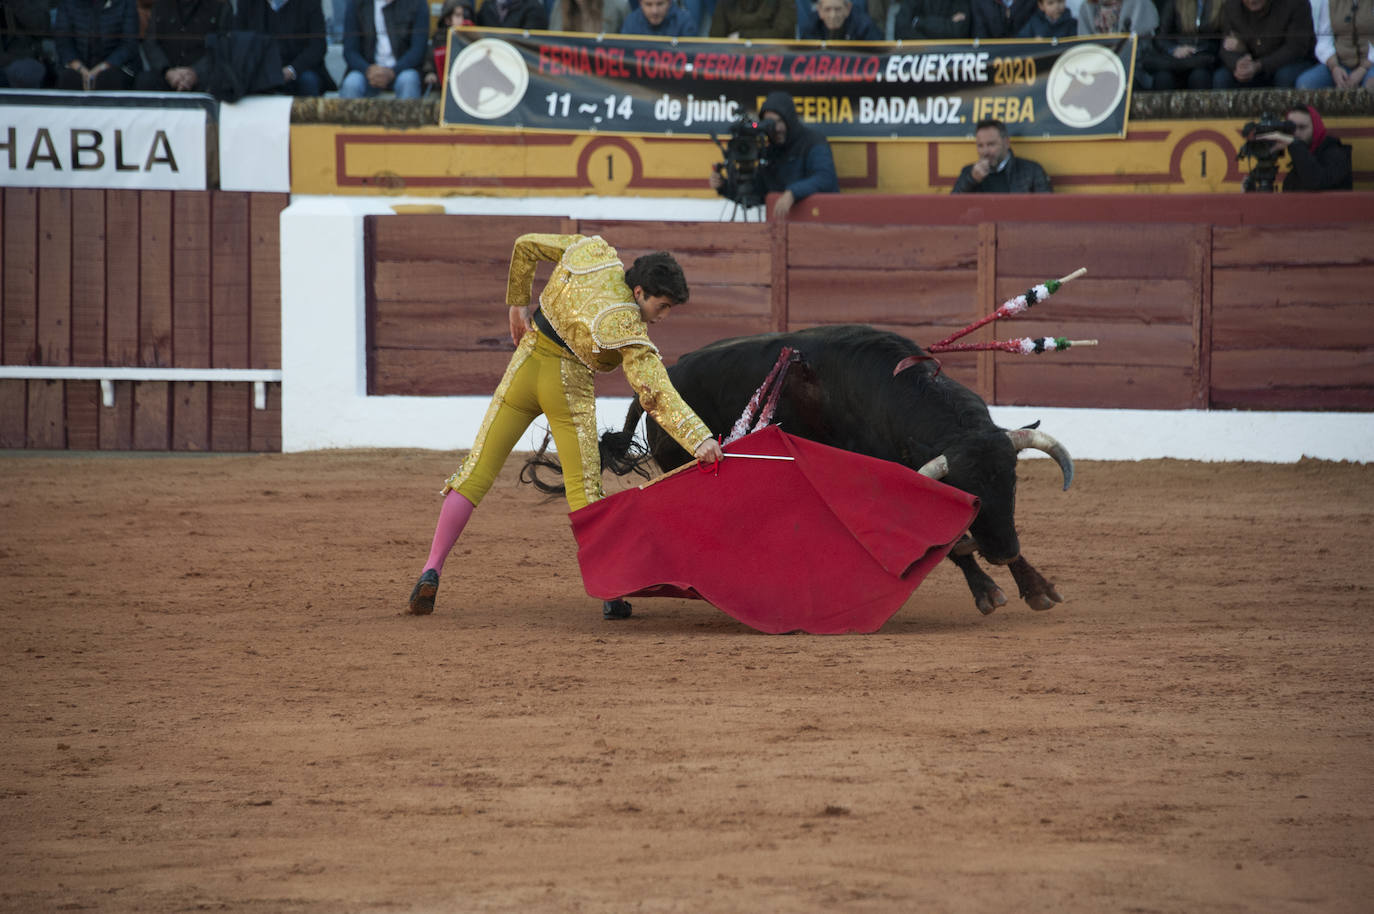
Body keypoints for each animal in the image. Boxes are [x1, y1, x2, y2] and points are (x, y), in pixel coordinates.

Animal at [610, 324, 1071, 615]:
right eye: (970, 497)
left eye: (1013, 482)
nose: (1003, 550)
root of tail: (654, 389)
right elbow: (950, 538)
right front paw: (988, 591)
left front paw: (1037, 588)